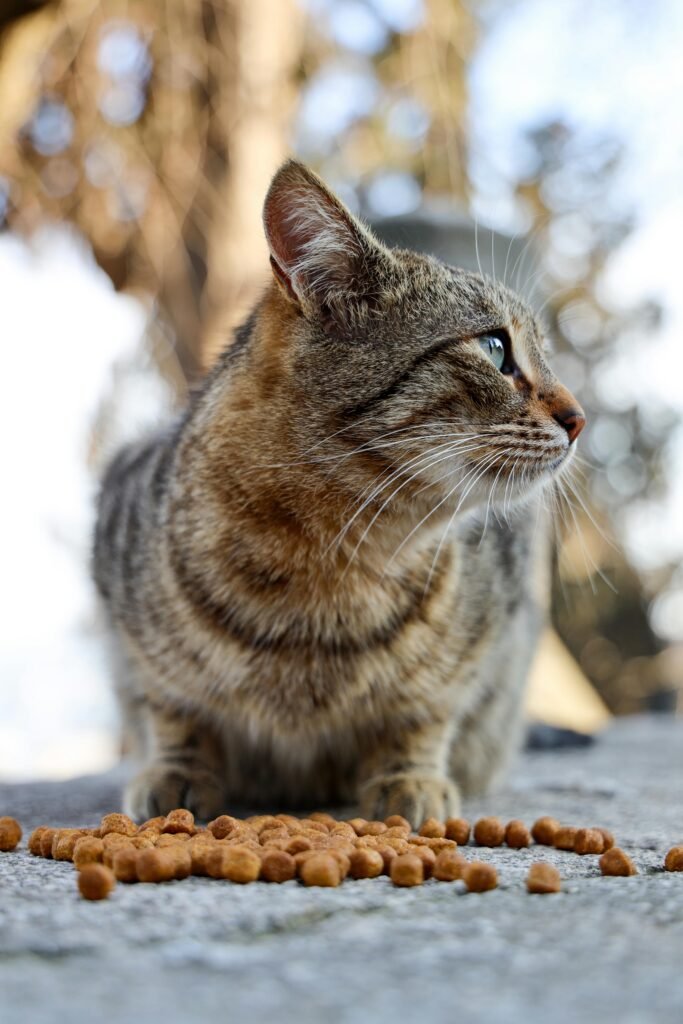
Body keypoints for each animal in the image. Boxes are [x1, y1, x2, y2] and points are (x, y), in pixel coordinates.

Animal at [93, 161, 589, 831]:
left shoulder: (482, 637)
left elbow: (425, 710)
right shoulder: (126, 592)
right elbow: (172, 706)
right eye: (494, 348)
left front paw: (410, 776)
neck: (329, 563)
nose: (580, 418)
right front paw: (177, 769)